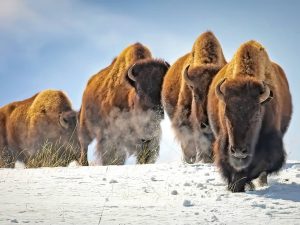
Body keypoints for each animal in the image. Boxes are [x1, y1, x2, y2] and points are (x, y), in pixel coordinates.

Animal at [207, 40, 292, 192]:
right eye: (226, 115)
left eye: (257, 115)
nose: (239, 151)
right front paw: (234, 185)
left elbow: (259, 165)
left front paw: (238, 185)